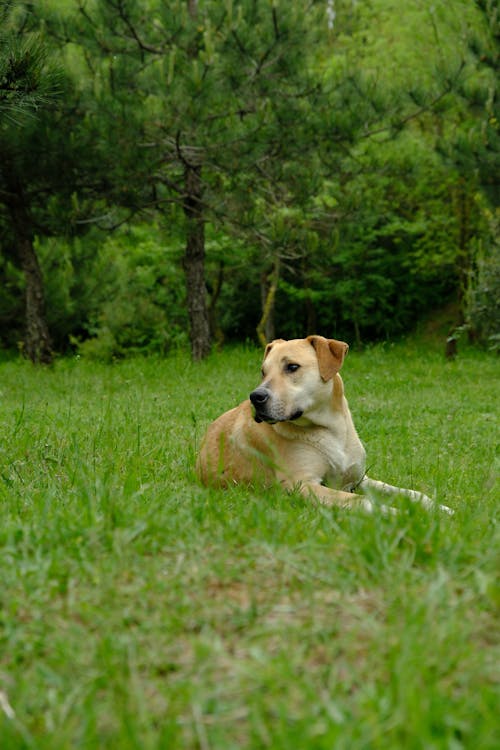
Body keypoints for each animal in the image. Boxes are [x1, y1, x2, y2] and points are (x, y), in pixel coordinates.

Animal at [197, 336, 452, 516]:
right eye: (263, 372)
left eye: (292, 367)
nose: (256, 397)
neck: (330, 430)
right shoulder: (302, 486)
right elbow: (361, 501)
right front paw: (401, 514)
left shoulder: (359, 479)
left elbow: (411, 493)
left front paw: (438, 507)